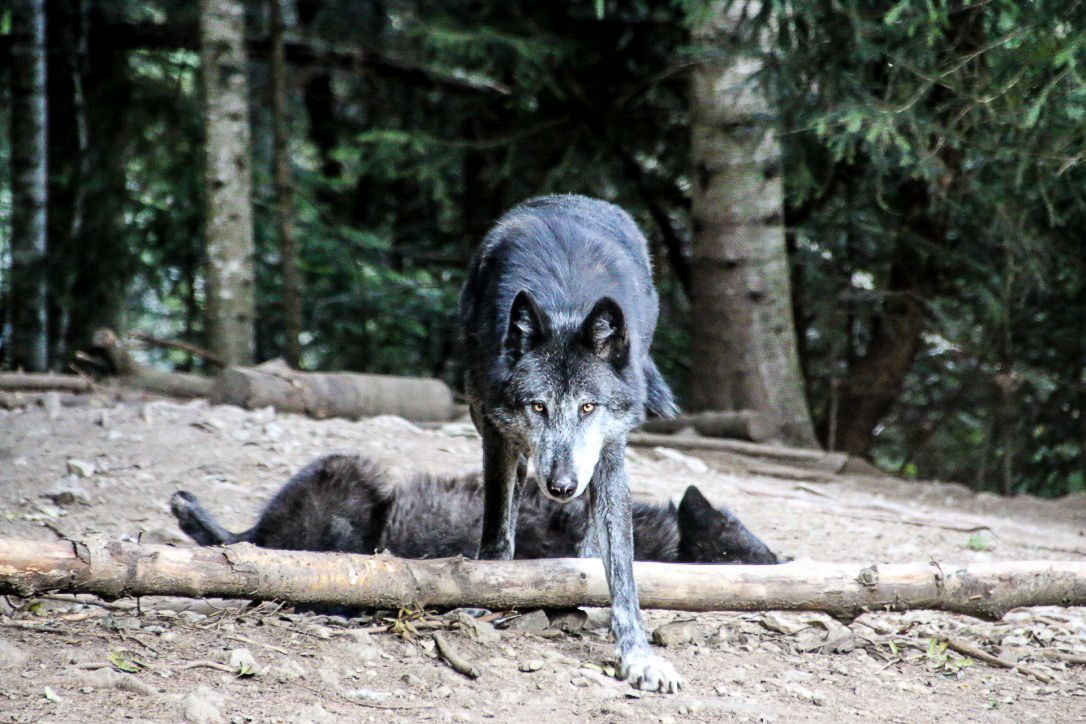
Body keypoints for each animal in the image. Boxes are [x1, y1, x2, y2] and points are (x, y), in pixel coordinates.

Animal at [456, 195, 677, 694]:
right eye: (538, 406)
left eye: (588, 407)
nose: (560, 486)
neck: (565, 303)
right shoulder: (496, 430)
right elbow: (497, 526)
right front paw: (485, 592)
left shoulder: (609, 450)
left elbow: (623, 563)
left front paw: (637, 654)